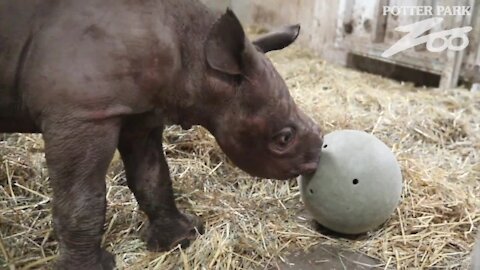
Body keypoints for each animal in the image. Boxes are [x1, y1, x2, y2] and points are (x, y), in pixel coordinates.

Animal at [0, 0, 322, 268]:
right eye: (283, 138)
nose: (315, 160)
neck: (196, 59)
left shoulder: (140, 112)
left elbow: (152, 177)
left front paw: (182, 237)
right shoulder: (83, 113)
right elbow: (82, 196)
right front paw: (92, 266)